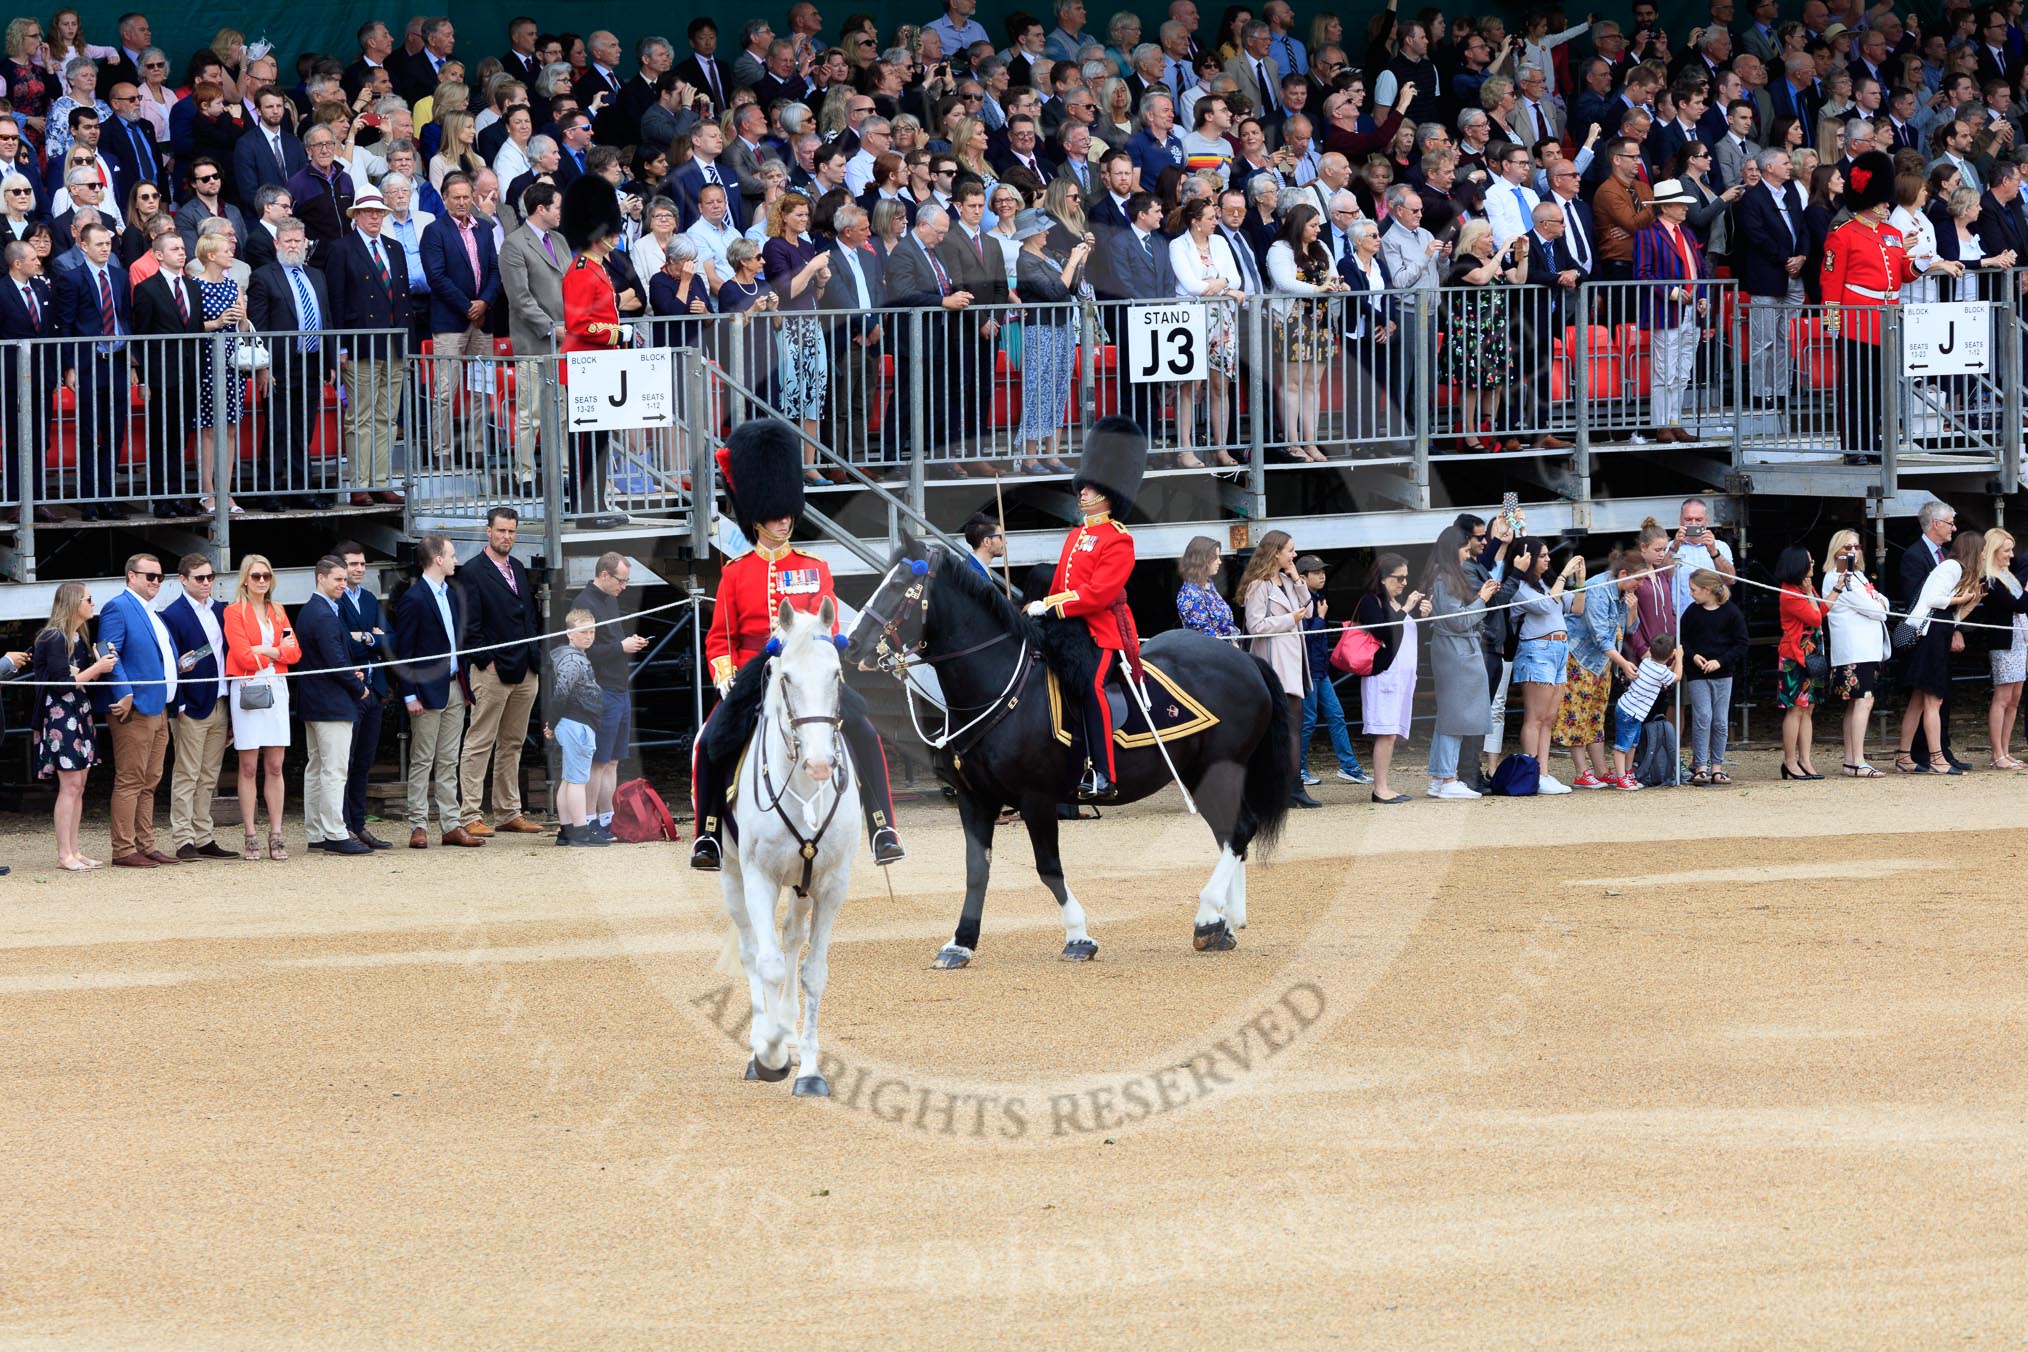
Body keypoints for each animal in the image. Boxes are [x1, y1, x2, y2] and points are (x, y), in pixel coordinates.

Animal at [721, 604, 855, 1102]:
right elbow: (770, 964)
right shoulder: (757, 877)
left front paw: (810, 1069)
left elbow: (812, 973)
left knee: (793, 938)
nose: (819, 764)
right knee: (752, 951)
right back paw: (761, 1041)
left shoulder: (831, 885)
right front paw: (771, 1054)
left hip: (801, 884)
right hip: (731, 876)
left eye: (836, 673)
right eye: (787, 678)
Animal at [843, 535, 1297, 968]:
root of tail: (1244, 660)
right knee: (1228, 835)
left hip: (1217, 770)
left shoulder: (1036, 799)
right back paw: (1225, 924)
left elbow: (1048, 868)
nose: (851, 644)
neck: (1001, 688)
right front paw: (960, 943)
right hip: (1199, 773)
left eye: (898, 585)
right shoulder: (975, 800)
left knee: (1238, 831)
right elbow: (976, 871)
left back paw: (1207, 918)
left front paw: (1078, 936)